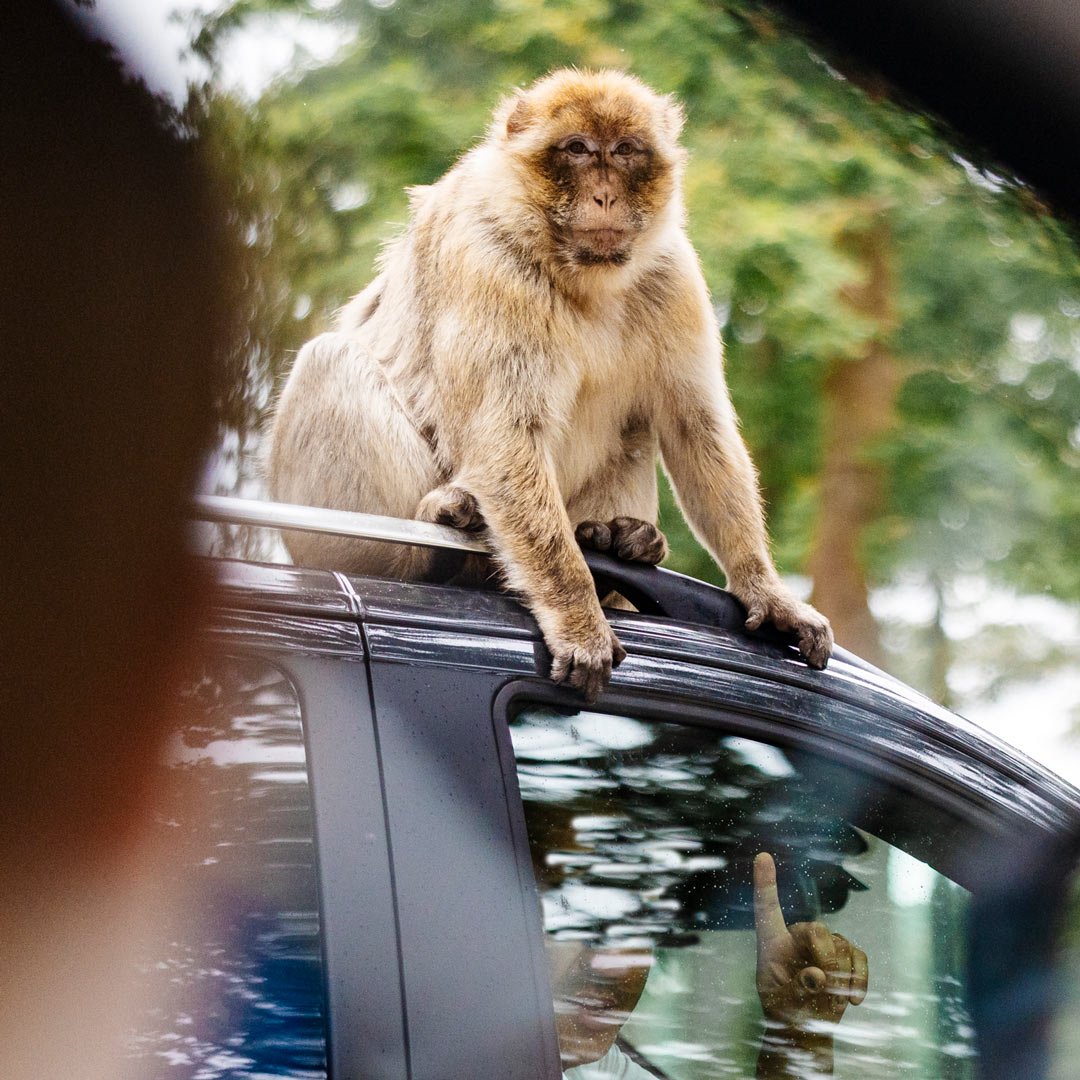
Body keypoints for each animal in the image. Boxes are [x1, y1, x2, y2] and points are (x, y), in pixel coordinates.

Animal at [268, 68, 833, 702]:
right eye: (579, 149)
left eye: (625, 150)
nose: (605, 195)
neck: (581, 274)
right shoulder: (489, 260)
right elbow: (504, 435)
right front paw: (577, 614)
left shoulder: (673, 274)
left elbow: (696, 427)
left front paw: (767, 591)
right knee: (329, 359)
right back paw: (441, 531)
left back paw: (621, 542)